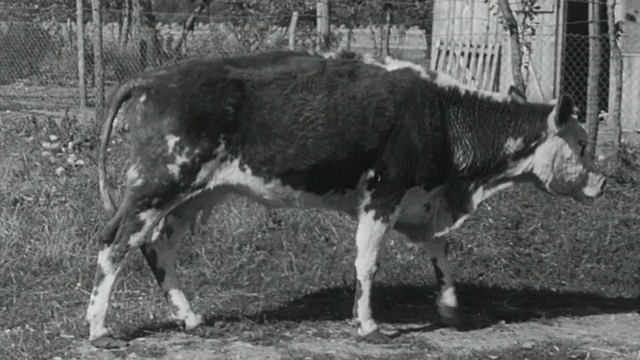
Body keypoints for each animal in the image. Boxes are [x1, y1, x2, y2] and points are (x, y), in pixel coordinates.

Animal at [85, 49, 604, 348]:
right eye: (581, 143)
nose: (601, 182)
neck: (441, 114)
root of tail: (154, 79)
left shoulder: (420, 199)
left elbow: (438, 251)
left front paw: (449, 306)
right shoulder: (384, 191)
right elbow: (368, 262)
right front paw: (370, 326)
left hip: (195, 193)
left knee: (158, 246)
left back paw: (190, 317)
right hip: (158, 183)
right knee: (115, 242)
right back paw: (99, 330)